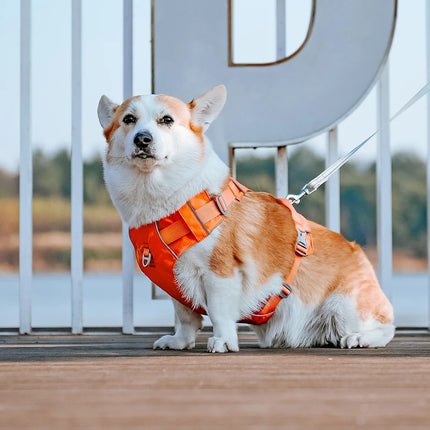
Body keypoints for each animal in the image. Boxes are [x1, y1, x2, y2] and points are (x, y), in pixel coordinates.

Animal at [97, 85, 394, 352]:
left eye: (167, 120)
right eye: (129, 119)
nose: (142, 139)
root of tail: (363, 259)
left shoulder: (220, 273)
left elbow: (219, 313)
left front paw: (223, 342)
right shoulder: (175, 284)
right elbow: (185, 318)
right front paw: (179, 342)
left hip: (344, 306)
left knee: (385, 327)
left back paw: (359, 338)